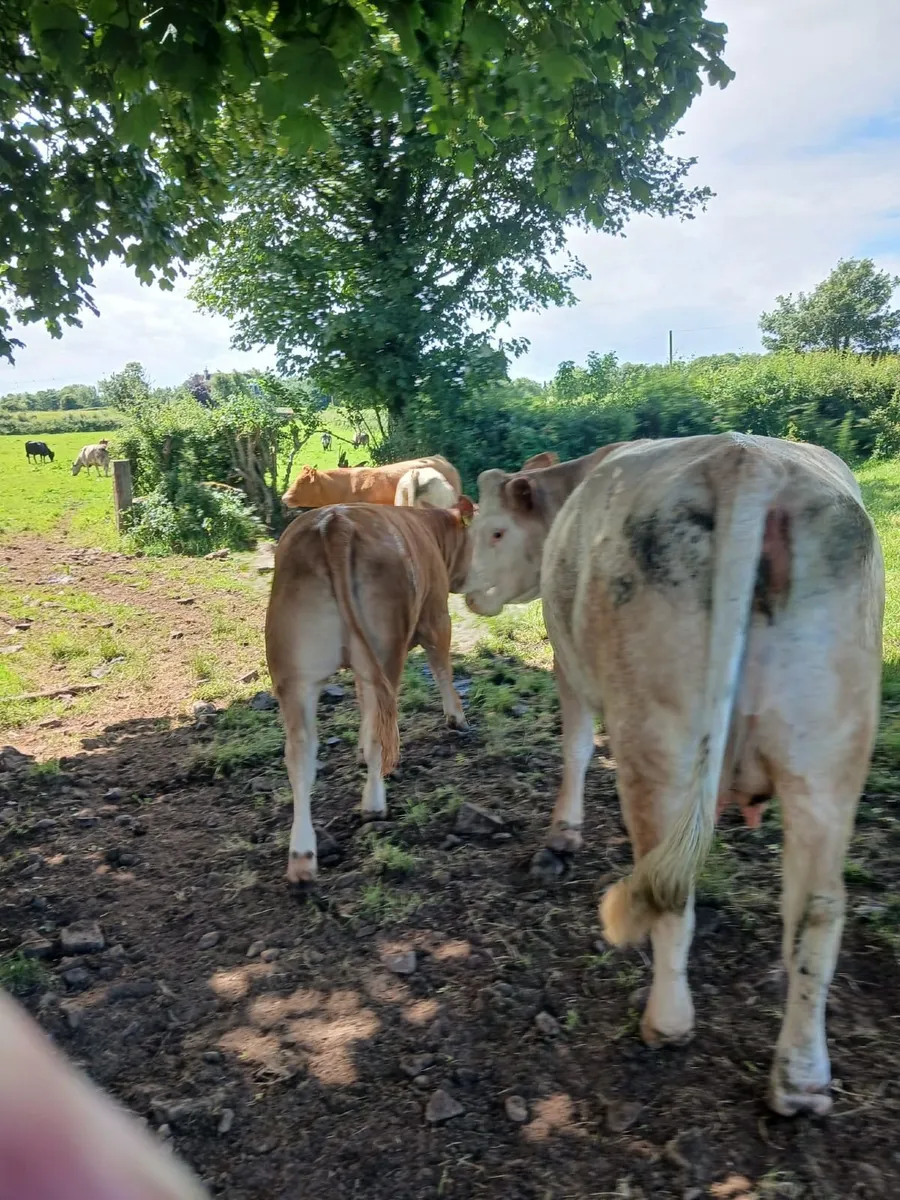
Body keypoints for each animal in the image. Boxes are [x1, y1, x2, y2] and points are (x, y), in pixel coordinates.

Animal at [266, 498, 475, 883]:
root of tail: (334, 521)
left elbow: (362, 700)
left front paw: (360, 750)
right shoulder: (437, 617)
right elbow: (442, 668)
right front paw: (457, 718)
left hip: (295, 672)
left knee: (300, 753)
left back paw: (302, 854)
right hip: (387, 649)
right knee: (382, 725)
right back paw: (375, 804)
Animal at [463, 433, 884, 1118]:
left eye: (494, 531)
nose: (468, 592)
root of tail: (748, 461)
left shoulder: (567, 663)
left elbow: (576, 747)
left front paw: (561, 837)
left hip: (653, 732)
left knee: (668, 889)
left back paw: (666, 1021)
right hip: (828, 750)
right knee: (818, 909)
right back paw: (800, 1079)